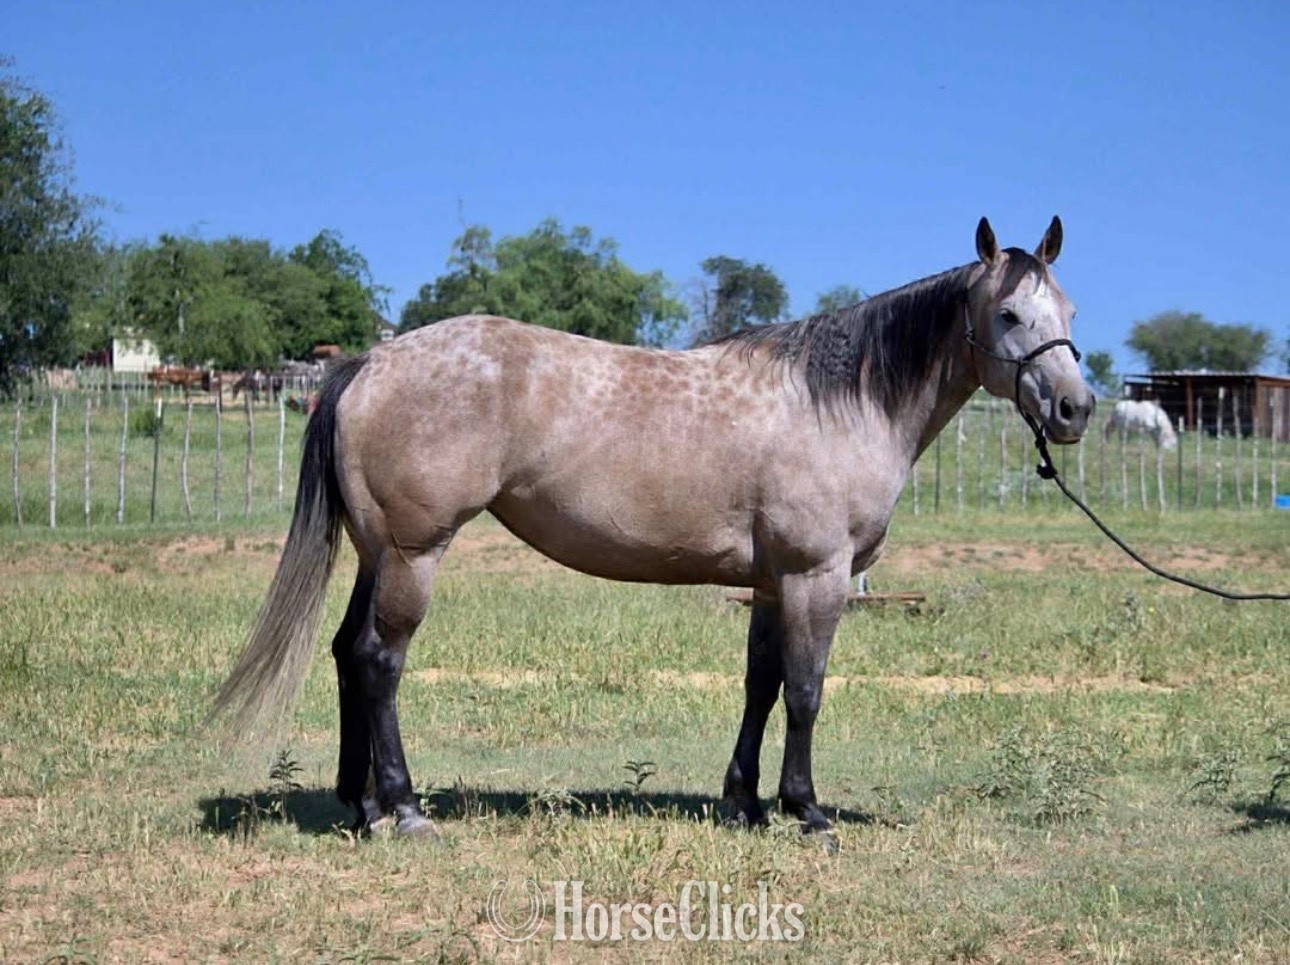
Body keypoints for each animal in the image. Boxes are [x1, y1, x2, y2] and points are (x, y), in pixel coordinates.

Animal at [214, 217, 1094, 837]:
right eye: (1007, 313)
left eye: (1070, 310)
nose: (1074, 408)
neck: (835, 401)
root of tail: (369, 361)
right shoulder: (816, 575)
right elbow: (806, 690)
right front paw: (806, 809)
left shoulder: (770, 582)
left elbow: (761, 685)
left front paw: (744, 803)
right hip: (412, 553)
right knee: (379, 660)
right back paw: (401, 808)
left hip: (377, 552)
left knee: (344, 652)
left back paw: (358, 804)